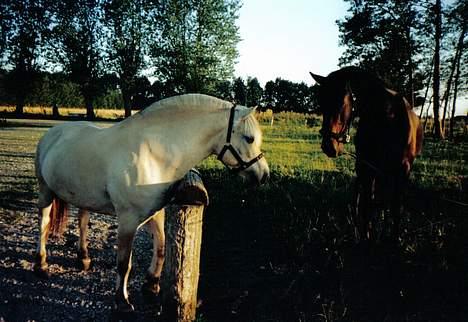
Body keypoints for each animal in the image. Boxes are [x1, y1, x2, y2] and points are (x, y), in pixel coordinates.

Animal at [33, 93, 268, 312]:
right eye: (249, 138)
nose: (264, 175)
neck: (153, 155)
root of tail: (53, 133)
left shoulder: (155, 212)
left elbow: (162, 248)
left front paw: (151, 285)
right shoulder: (128, 219)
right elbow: (124, 263)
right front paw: (122, 301)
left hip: (84, 197)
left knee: (82, 222)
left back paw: (83, 258)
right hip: (45, 191)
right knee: (43, 223)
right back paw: (41, 265)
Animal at [308, 66, 422, 243]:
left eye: (342, 103)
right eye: (322, 103)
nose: (329, 146)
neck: (387, 116)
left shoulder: (402, 171)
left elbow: (396, 208)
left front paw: (394, 239)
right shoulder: (367, 166)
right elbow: (367, 204)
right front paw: (365, 237)